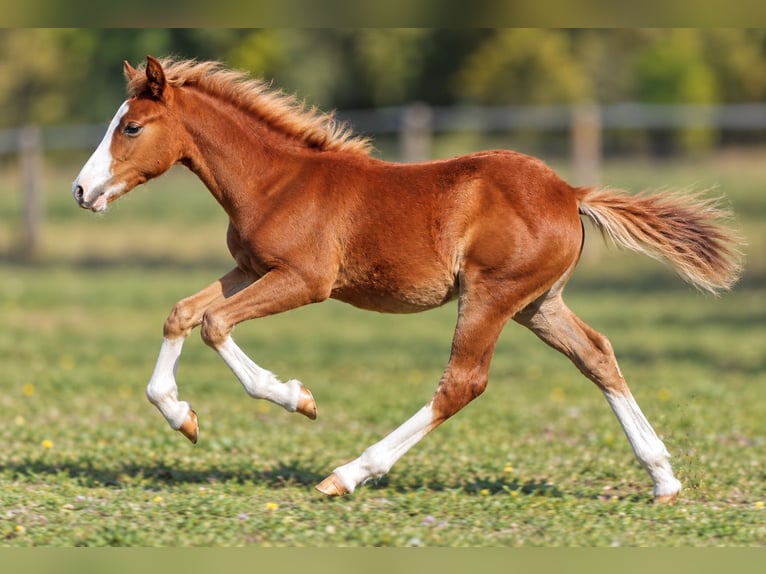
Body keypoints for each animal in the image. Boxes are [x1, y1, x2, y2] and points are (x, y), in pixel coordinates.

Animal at [72, 56, 742, 502]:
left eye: (130, 128)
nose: (81, 190)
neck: (276, 182)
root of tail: (572, 192)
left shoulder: (305, 280)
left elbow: (213, 324)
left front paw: (298, 398)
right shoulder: (251, 269)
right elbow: (182, 313)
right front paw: (181, 417)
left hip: (491, 296)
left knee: (462, 383)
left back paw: (347, 473)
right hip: (537, 304)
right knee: (597, 356)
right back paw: (663, 477)